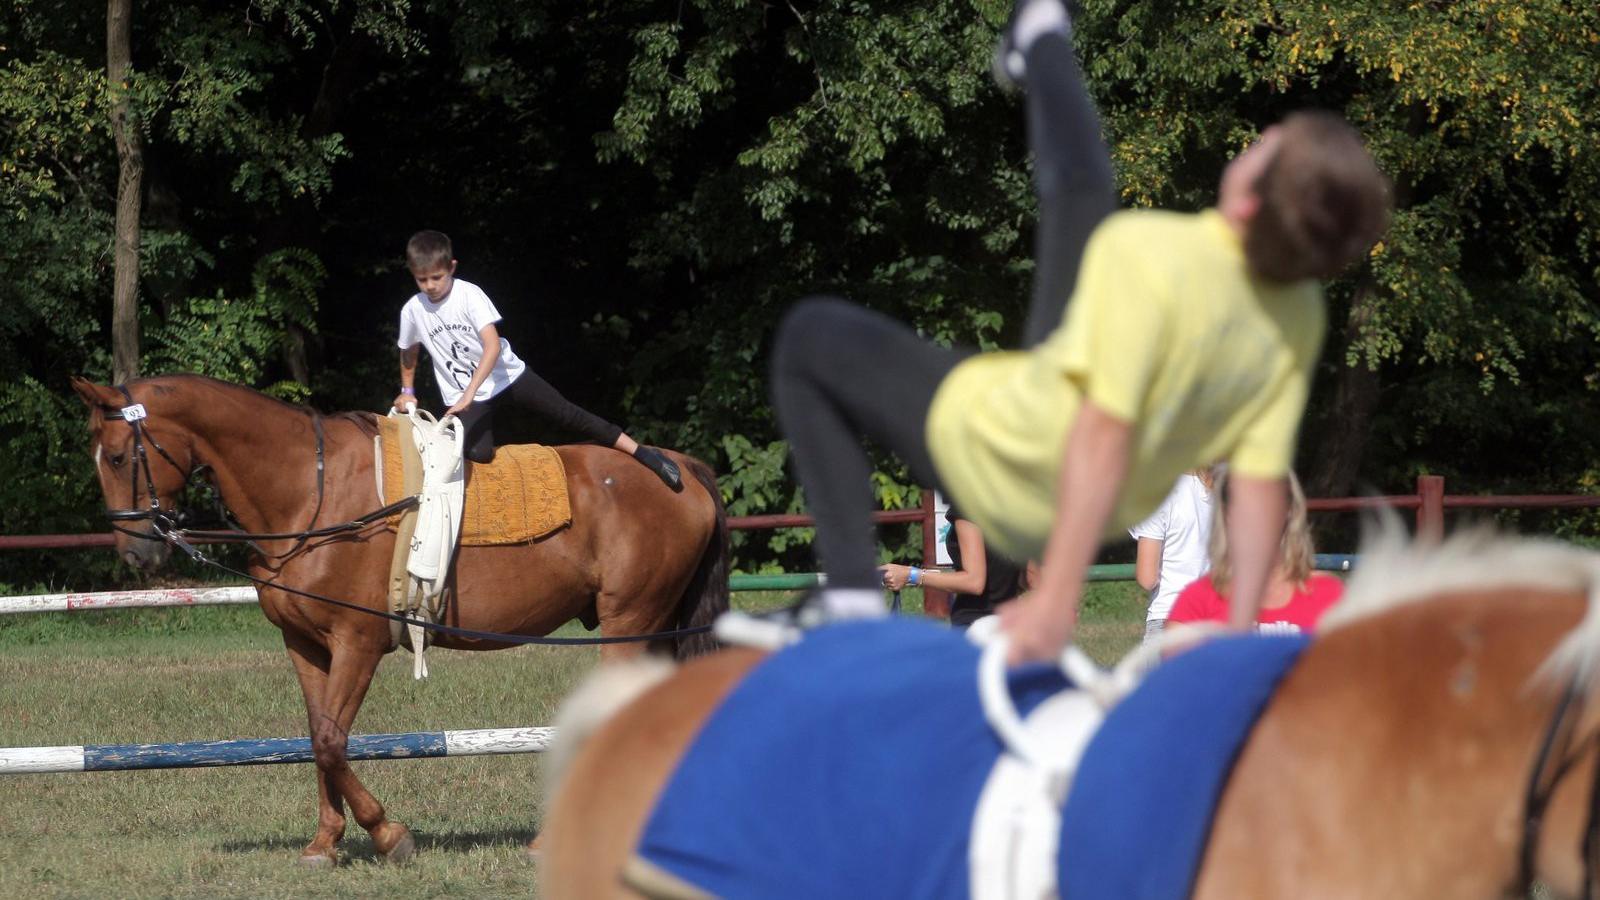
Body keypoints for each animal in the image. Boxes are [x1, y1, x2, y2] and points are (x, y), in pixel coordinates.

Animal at [70, 371, 732, 864]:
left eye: (120, 455)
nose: (136, 553)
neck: (310, 491)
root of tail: (679, 467)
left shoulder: (357, 641)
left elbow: (333, 741)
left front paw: (389, 835)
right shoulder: (305, 645)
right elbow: (317, 737)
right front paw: (324, 844)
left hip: (632, 621)